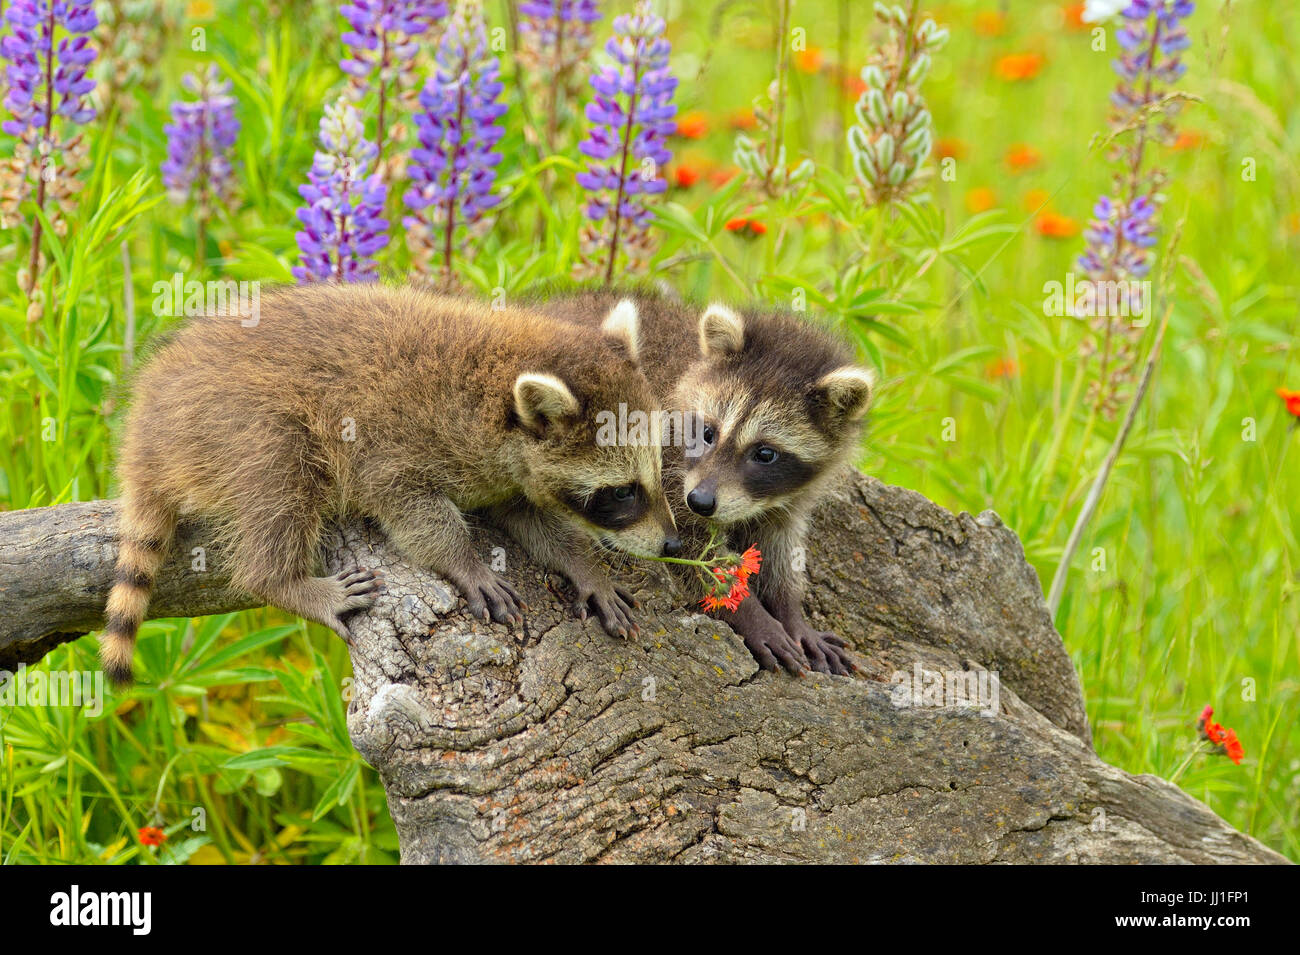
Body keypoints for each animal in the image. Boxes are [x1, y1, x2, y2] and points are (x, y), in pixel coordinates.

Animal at [101, 283, 681, 686]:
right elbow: (410, 509)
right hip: (231, 424)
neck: (493, 386)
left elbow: (532, 518)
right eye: (623, 492)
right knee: (280, 477)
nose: (674, 544)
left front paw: (584, 567)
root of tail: (147, 424)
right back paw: (282, 579)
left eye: (656, 469)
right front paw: (464, 560)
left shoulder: (508, 469)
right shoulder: (395, 442)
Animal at [533, 287, 878, 675]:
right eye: (709, 433)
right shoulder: (667, 471)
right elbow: (693, 549)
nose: (700, 501)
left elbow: (779, 545)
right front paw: (753, 614)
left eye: (765, 454)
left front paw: (790, 612)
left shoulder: (789, 495)